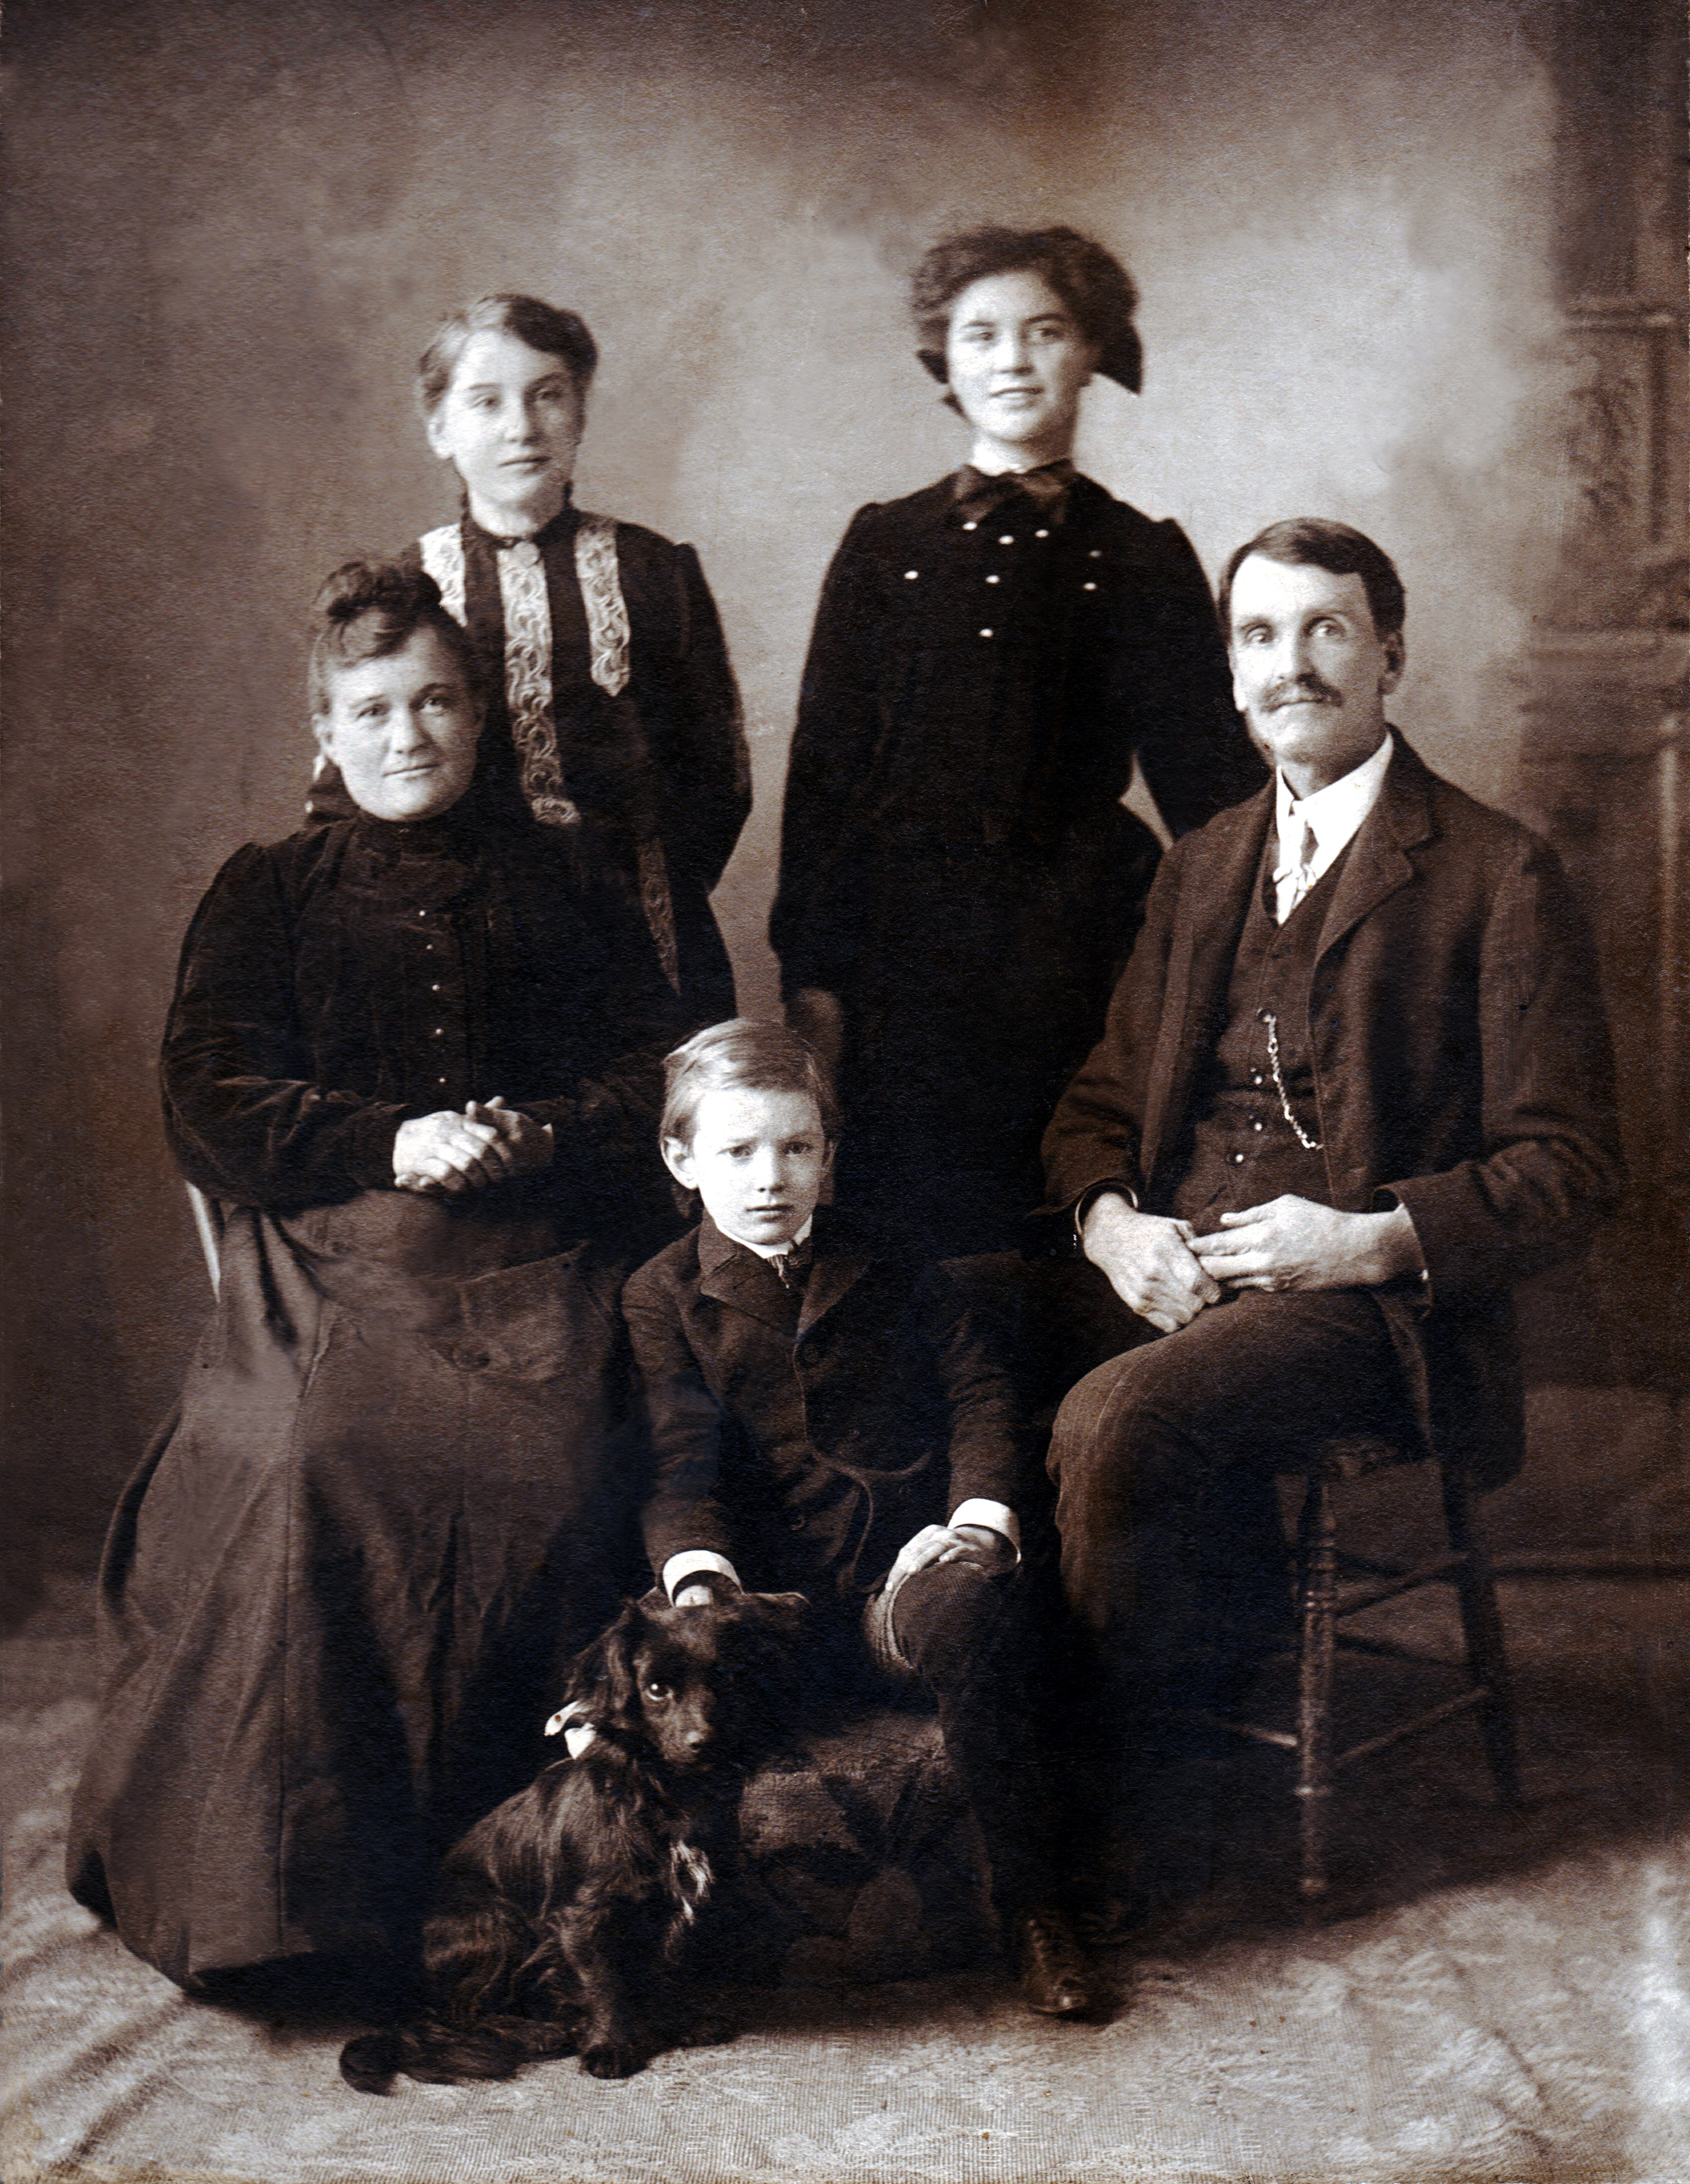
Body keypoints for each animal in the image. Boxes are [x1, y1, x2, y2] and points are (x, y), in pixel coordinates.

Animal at [343, 1598, 808, 2087]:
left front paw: (675, 2019)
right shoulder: (583, 1914)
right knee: (461, 2012)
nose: (705, 1742)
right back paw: (538, 2032)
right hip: (494, 1920)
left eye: (728, 1679)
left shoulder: (667, 1908)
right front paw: (610, 2045)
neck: (665, 1792)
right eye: (656, 1689)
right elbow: (603, 1982)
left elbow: (660, 1971)